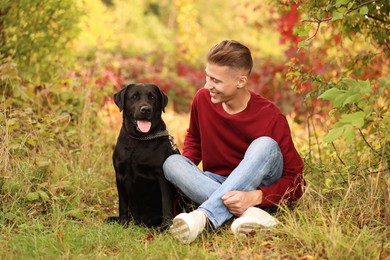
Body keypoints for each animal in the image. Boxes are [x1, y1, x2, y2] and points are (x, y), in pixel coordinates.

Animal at [108, 83, 180, 228]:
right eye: (134, 97)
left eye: (152, 97)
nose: (145, 109)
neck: (139, 139)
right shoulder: (120, 175)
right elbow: (122, 203)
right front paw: (123, 223)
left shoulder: (162, 176)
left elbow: (166, 203)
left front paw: (166, 226)